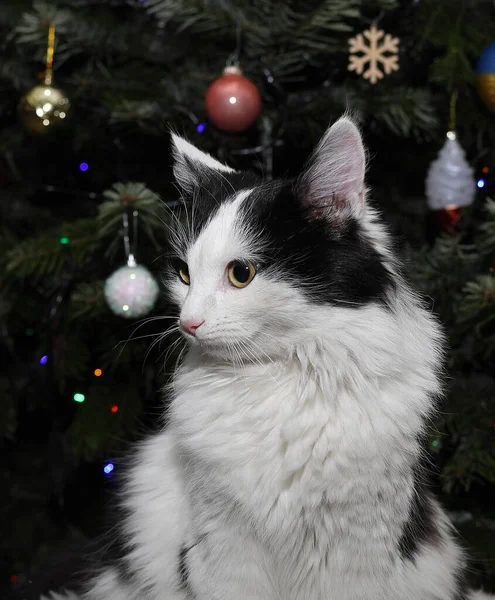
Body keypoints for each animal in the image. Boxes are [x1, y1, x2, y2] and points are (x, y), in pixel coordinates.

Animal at [44, 117, 494, 600]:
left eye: (242, 274)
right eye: (184, 273)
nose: (187, 322)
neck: (277, 377)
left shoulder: (356, 548)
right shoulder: (222, 542)